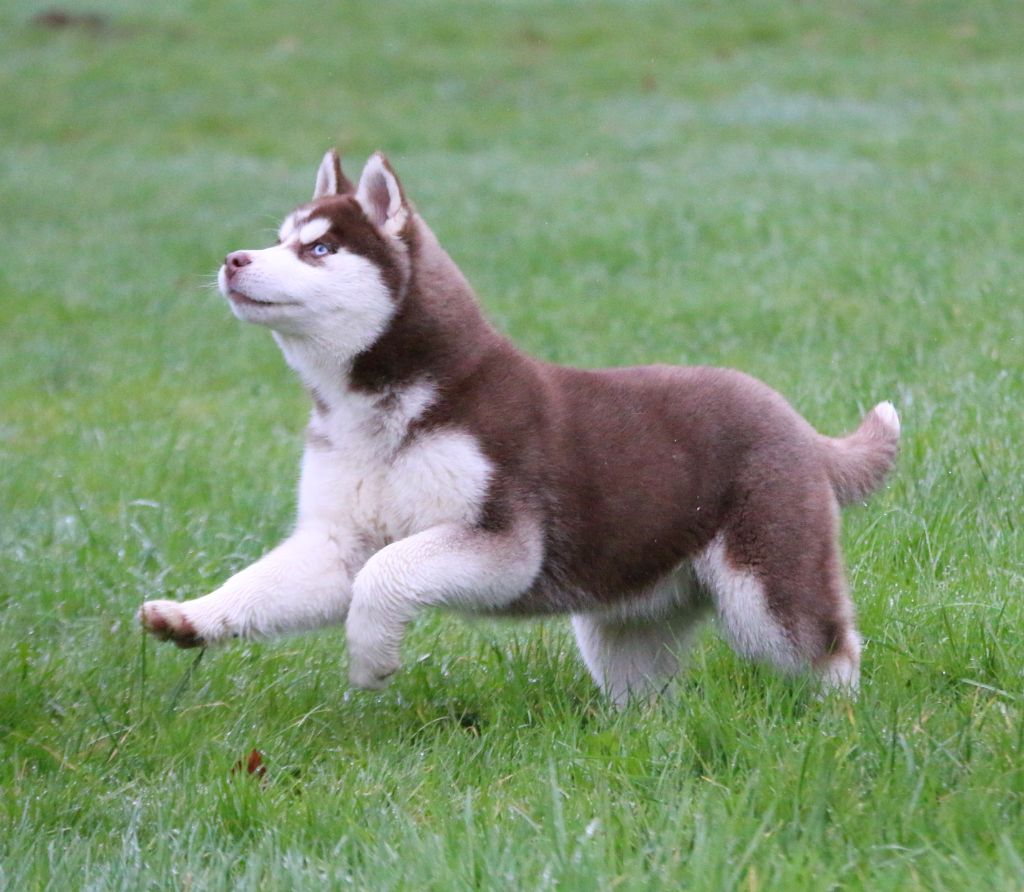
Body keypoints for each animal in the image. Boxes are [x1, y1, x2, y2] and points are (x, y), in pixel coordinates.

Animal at [139, 150, 900, 705]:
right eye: (278, 241)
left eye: (319, 249)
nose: (234, 260)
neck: (373, 411)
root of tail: (793, 419)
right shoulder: (336, 539)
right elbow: (274, 581)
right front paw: (192, 616)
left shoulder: (503, 542)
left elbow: (386, 574)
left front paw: (369, 660)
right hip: (628, 612)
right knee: (645, 689)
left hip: (765, 588)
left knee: (830, 645)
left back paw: (835, 722)